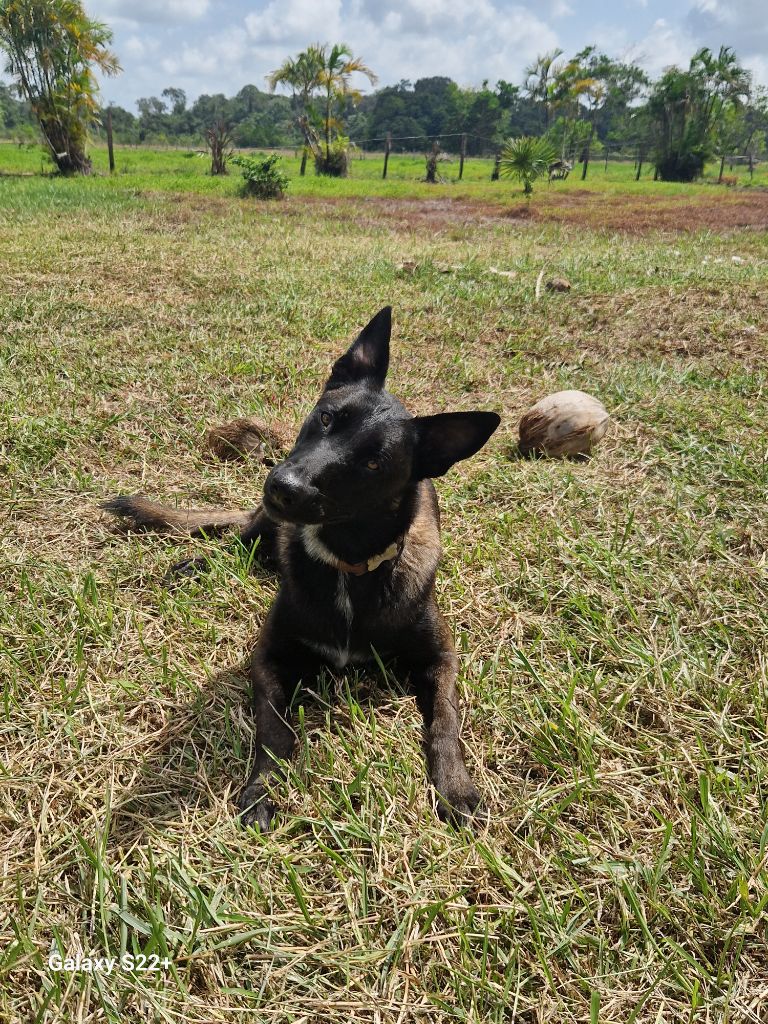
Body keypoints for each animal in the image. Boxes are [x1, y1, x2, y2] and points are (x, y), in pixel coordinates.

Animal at [103, 307, 500, 829]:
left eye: (374, 463)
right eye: (327, 417)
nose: (283, 486)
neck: (347, 565)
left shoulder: (441, 659)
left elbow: (445, 720)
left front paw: (456, 788)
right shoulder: (270, 656)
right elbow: (275, 731)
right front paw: (263, 789)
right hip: (262, 526)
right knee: (241, 540)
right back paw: (197, 563)